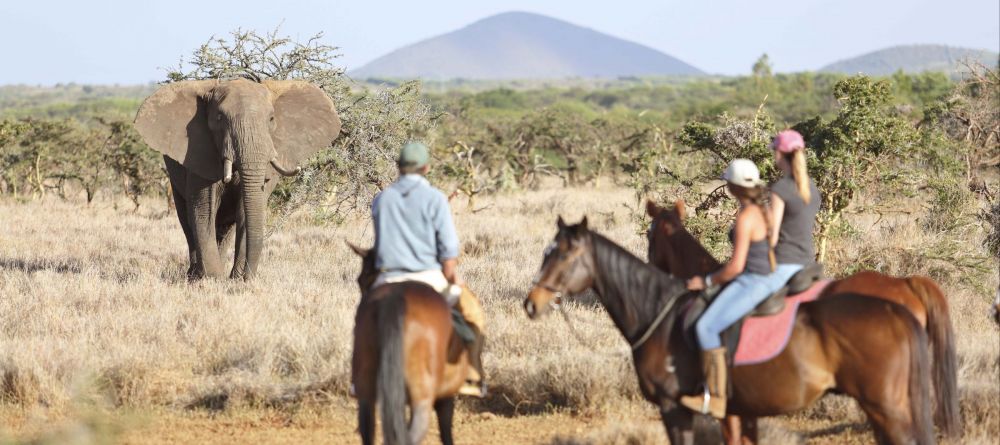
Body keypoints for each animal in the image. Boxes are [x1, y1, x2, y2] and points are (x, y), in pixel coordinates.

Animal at [135, 76, 342, 278]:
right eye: (220, 118)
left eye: (271, 118)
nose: (248, 277)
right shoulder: (199, 153)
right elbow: (203, 210)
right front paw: (213, 279)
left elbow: (244, 211)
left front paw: (235, 280)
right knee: (187, 220)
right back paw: (194, 275)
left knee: (226, 227)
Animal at [348, 243, 472, 444]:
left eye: (362, 280)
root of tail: (394, 299)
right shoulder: (445, 395)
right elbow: (446, 430)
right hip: (422, 397)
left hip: (367, 392)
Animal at [524, 217, 936, 444]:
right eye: (546, 252)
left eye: (563, 255)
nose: (532, 303)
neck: (660, 313)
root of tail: (898, 299)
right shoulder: (740, 412)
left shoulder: (677, 408)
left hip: (886, 406)